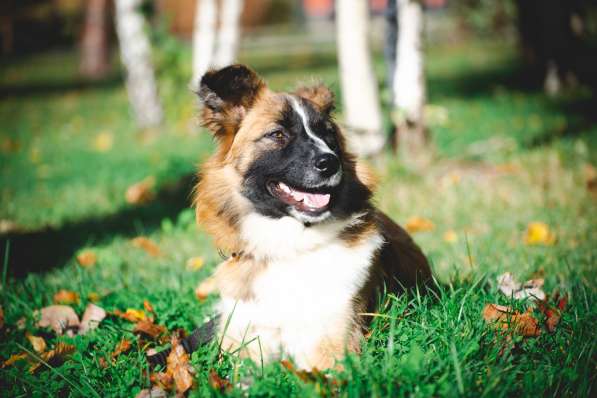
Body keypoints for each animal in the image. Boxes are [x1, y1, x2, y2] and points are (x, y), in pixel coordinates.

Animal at [193, 64, 430, 370]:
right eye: (278, 134)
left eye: (328, 135)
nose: (330, 163)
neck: (288, 245)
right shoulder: (241, 339)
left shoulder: (332, 339)